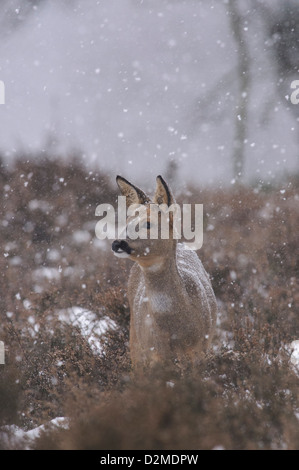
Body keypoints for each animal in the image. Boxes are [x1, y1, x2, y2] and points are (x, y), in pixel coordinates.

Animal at [112, 174, 218, 372]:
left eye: (148, 223)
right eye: (126, 222)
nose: (117, 243)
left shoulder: (200, 351)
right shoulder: (152, 356)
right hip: (134, 339)